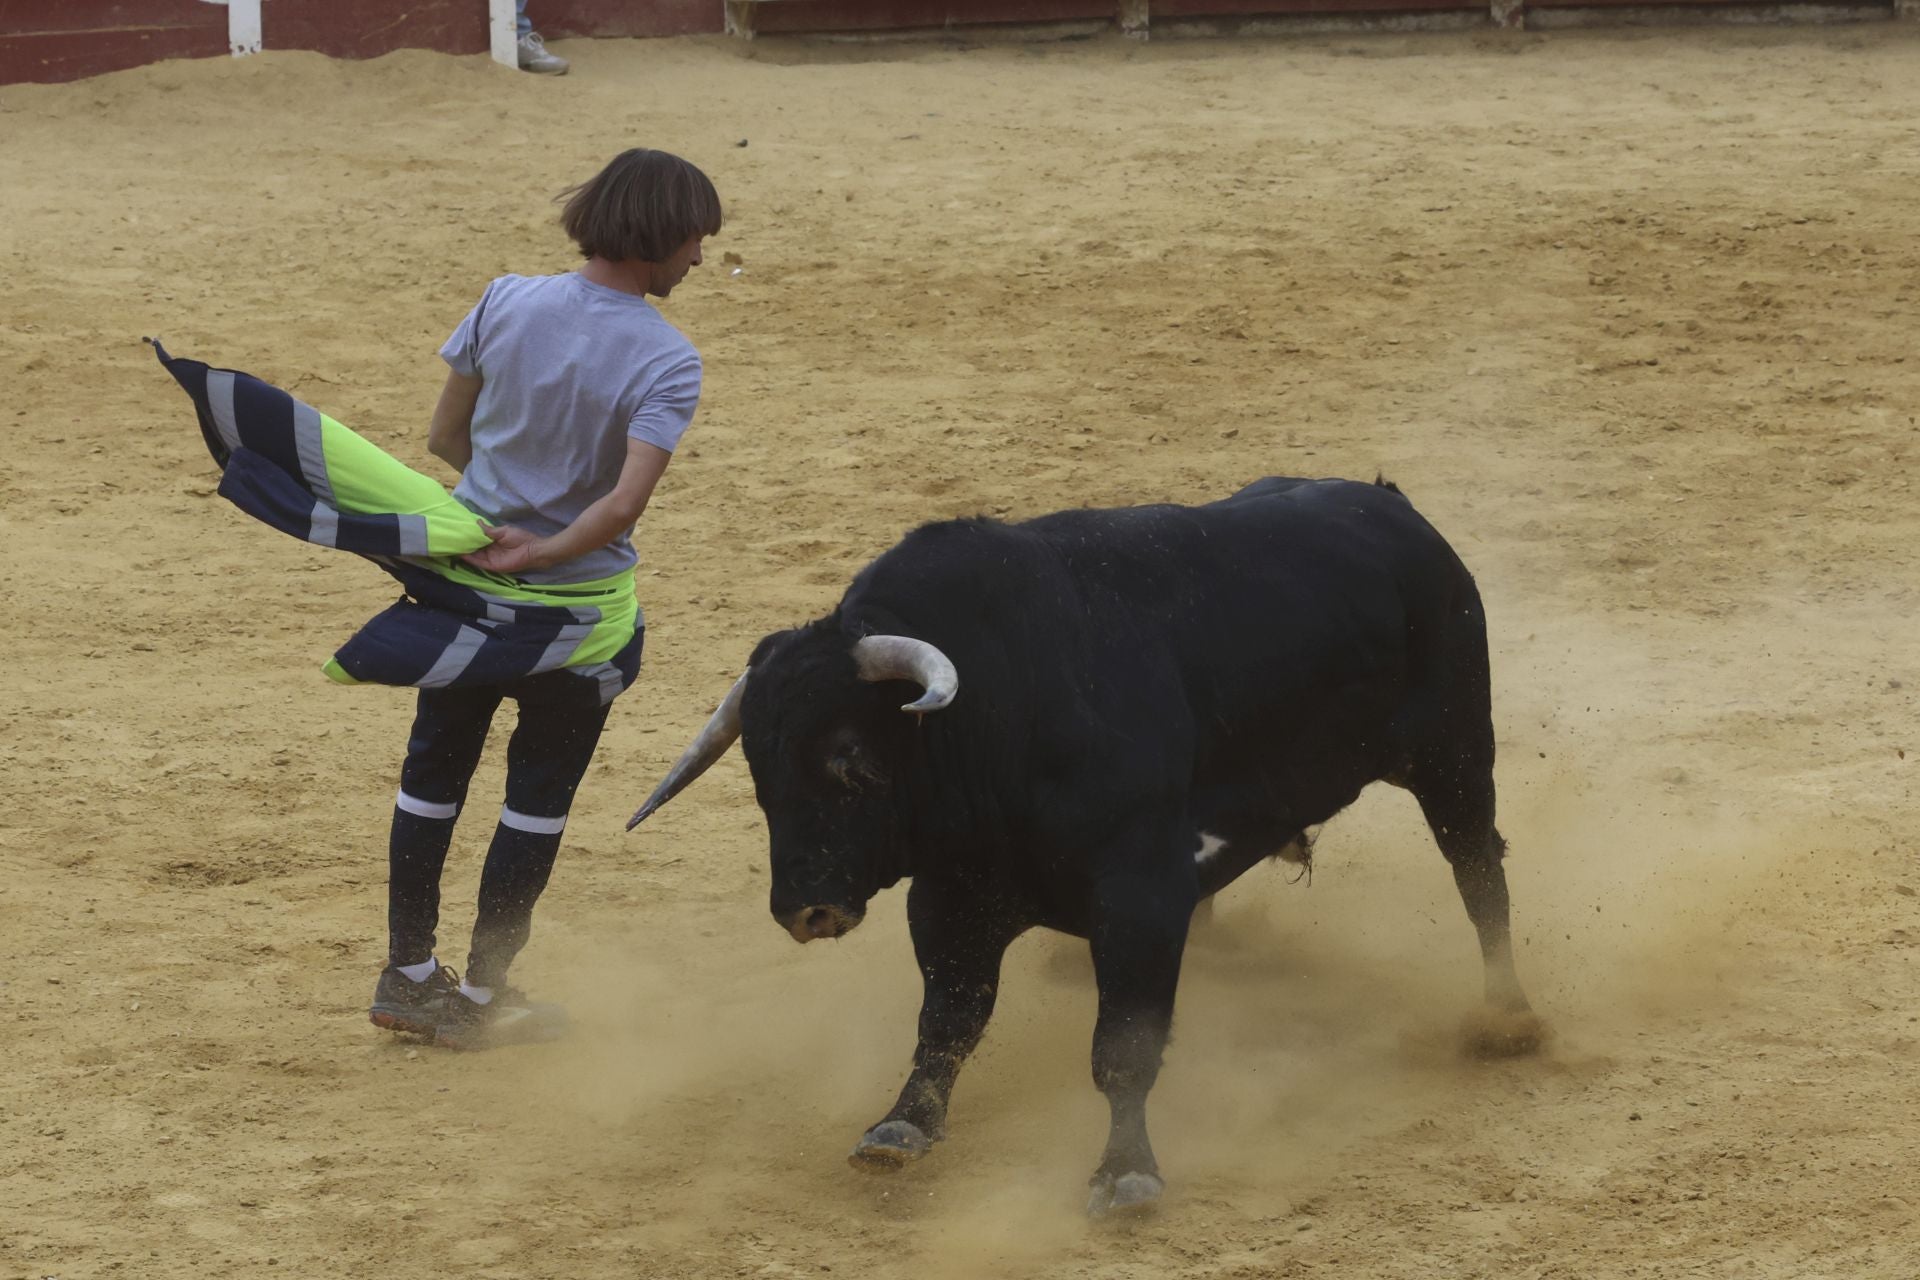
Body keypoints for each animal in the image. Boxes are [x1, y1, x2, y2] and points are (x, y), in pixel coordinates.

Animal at [628, 475, 1540, 1216]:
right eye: (758, 770)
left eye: (851, 759)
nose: (803, 910)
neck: (1005, 703)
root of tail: (1395, 510)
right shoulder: (951, 896)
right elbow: (947, 1022)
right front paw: (899, 1127)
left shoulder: (1138, 897)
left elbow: (1122, 1048)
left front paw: (1125, 1172)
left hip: (1456, 753)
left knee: (1479, 875)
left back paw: (1509, 1019)